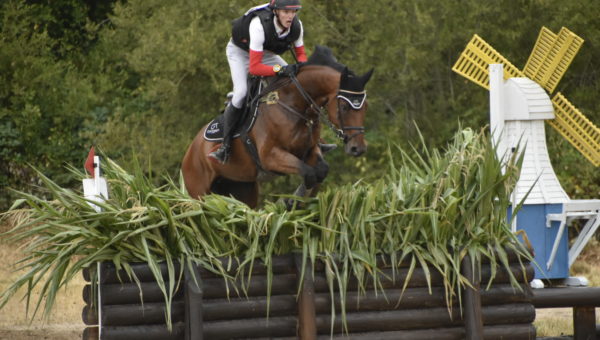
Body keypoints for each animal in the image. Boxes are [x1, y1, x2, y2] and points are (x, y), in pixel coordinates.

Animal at [180, 45, 372, 207]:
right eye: (345, 107)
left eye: (366, 106)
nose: (358, 148)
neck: (294, 104)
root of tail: (190, 150)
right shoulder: (270, 156)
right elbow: (309, 174)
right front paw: (290, 202)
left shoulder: (309, 150)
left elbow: (320, 171)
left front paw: (295, 201)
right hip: (198, 192)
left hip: (242, 187)